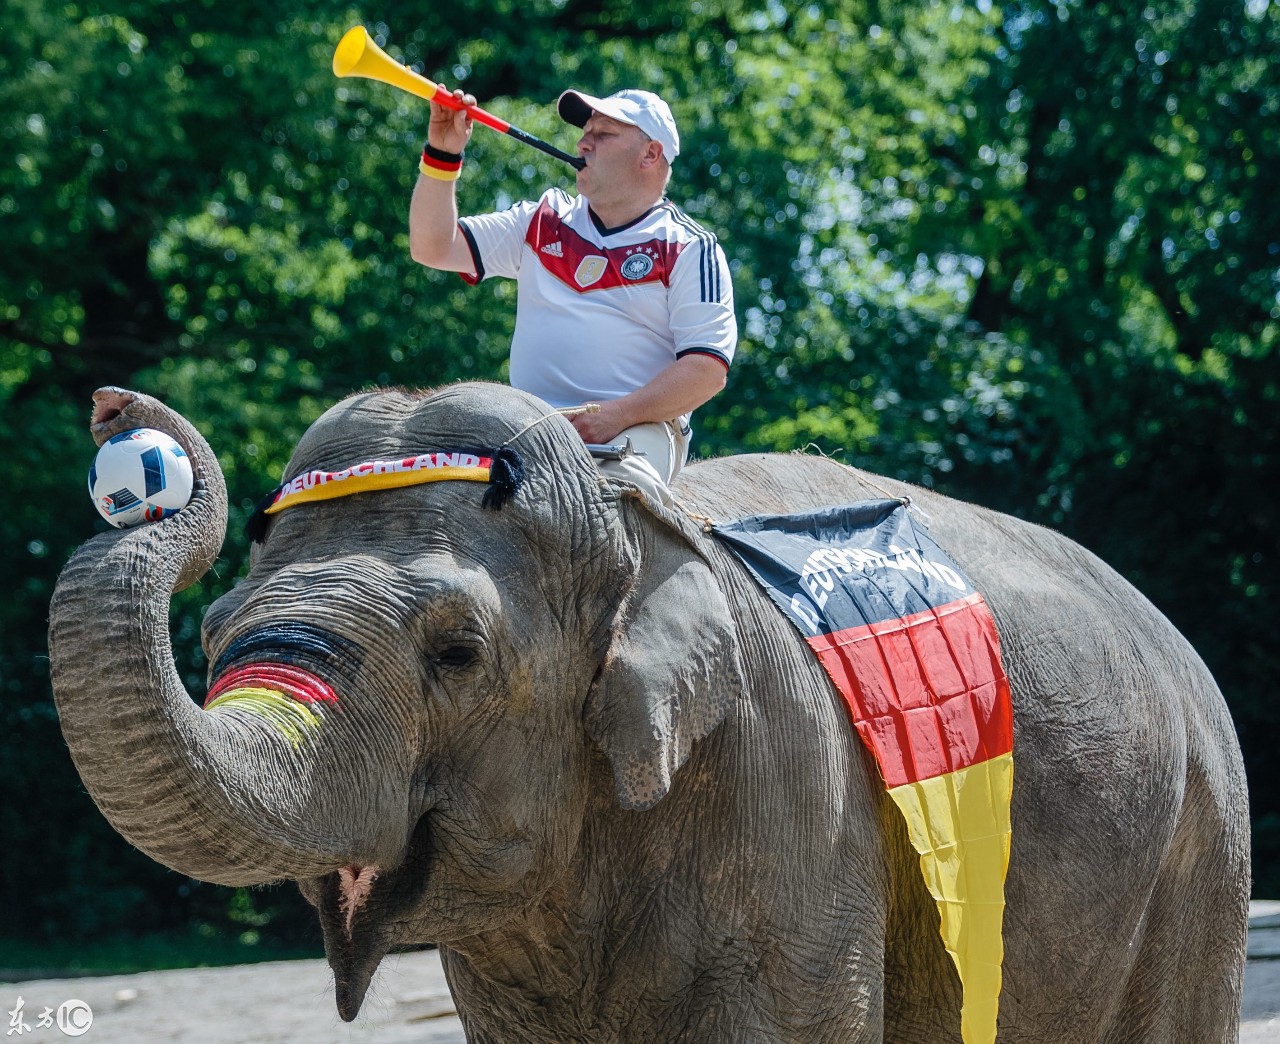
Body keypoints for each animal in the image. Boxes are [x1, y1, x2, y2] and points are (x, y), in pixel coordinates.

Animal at [52, 383, 1249, 1044]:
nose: (118, 414)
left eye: (457, 653)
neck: (627, 516)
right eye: (214, 639)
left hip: (1202, 848)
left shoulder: (793, 787)